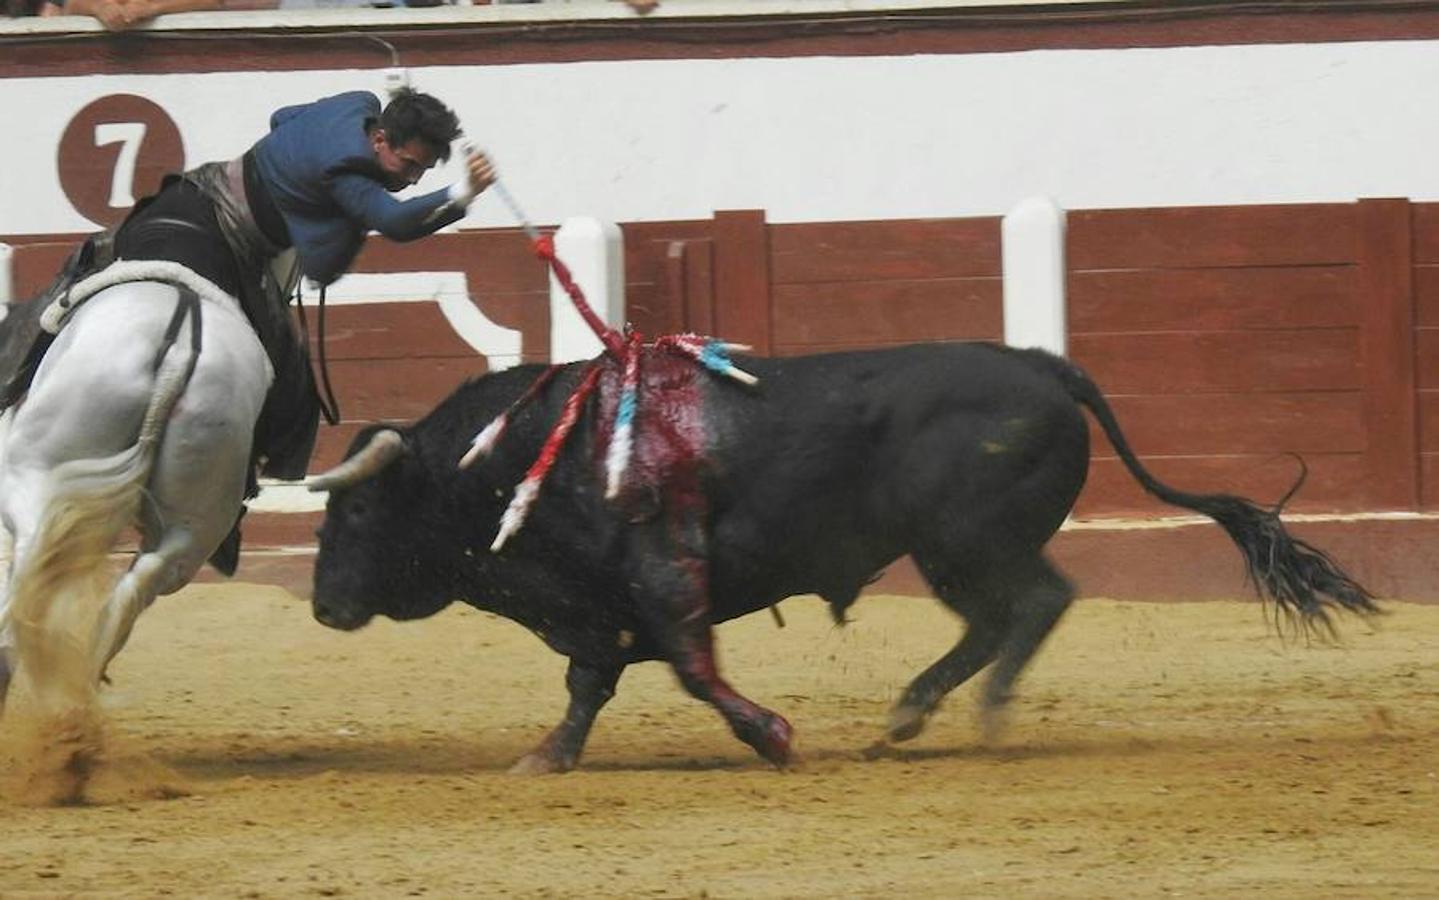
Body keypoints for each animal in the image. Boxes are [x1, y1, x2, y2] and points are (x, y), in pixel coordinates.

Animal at [309, 339, 1375, 766]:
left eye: (353, 516)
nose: (321, 607)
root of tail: (1039, 364)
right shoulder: (598, 608)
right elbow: (587, 684)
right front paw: (548, 757)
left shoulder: (657, 582)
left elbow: (688, 669)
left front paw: (771, 737)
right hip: (953, 555)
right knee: (1000, 619)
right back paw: (913, 712)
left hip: (965, 542)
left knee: (1032, 605)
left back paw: (972, 714)